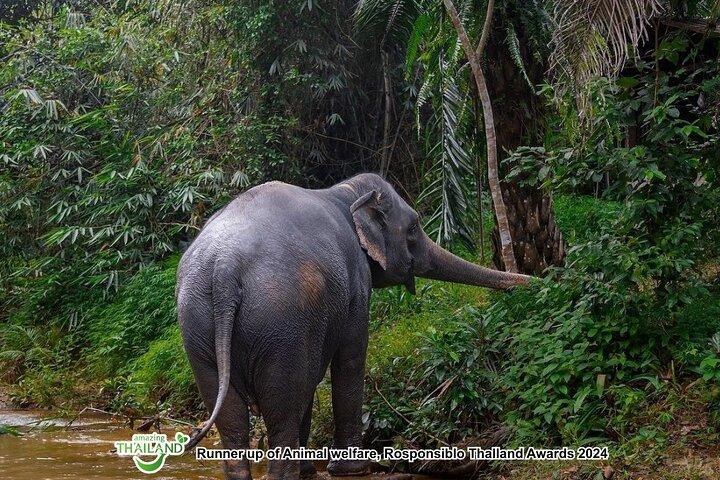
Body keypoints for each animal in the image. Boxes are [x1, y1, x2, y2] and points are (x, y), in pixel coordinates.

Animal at [176, 173, 530, 480]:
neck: (344, 191)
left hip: (198, 327)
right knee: (283, 405)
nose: (535, 281)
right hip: (278, 322)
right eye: (414, 227)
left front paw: (318, 470)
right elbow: (350, 356)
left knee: (232, 417)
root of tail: (225, 267)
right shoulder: (356, 283)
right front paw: (353, 470)